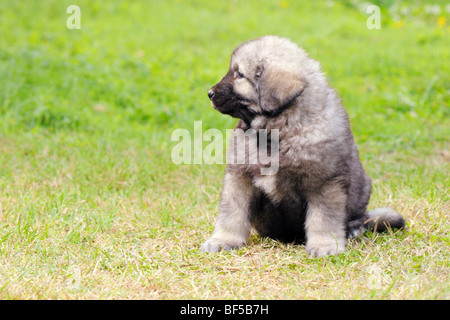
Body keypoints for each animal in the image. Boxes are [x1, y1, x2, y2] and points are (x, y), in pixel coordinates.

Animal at [201, 35, 404, 258]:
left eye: (239, 75)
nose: (209, 93)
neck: (278, 131)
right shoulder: (240, 178)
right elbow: (232, 213)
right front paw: (223, 240)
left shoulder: (324, 182)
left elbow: (323, 219)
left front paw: (324, 245)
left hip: (362, 189)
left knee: (360, 217)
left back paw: (353, 228)